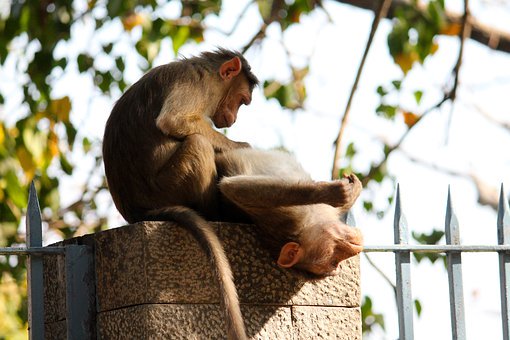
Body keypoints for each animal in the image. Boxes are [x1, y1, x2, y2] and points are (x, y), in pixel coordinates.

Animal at [101, 48, 256, 340]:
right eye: (242, 101)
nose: (233, 119)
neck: (210, 75)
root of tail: (136, 210)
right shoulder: (196, 84)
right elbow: (174, 121)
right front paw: (244, 146)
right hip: (168, 185)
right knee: (198, 143)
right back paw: (215, 213)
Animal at [215, 148, 362, 278]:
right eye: (335, 257)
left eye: (336, 262)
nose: (355, 248)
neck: (311, 220)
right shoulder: (293, 217)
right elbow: (231, 187)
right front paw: (332, 192)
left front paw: (354, 188)